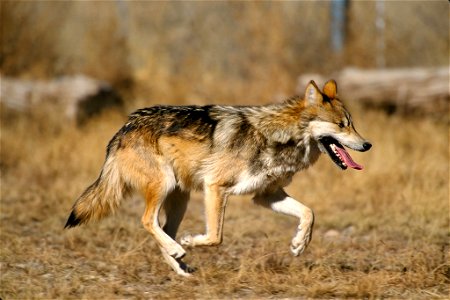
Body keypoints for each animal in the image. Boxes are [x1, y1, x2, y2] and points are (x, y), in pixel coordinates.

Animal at [64, 79, 372, 276]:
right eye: (341, 125)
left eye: (352, 124)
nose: (368, 144)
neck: (278, 136)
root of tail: (124, 127)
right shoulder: (216, 187)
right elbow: (215, 237)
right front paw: (191, 241)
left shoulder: (266, 195)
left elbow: (309, 213)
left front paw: (299, 244)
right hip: (165, 186)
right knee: (147, 221)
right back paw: (179, 249)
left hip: (180, 199)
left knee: (162, 229)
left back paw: (180, 266)